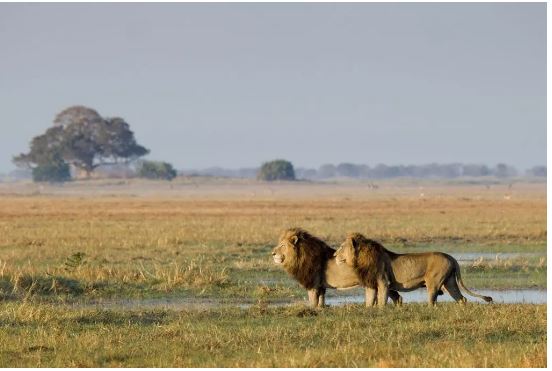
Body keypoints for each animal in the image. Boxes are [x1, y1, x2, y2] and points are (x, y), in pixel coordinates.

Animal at [272, 230, 402, 308]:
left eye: (282, 245)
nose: (272, 253)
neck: (300, 256)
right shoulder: (321, 286)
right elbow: (321, 300)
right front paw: (320, 309)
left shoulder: (313, 284)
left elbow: (313, 301)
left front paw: (311, 310)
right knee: (396, 295)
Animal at [334, 232, 494, 308]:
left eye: (341, 247)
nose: (334, 255)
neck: (359, 259)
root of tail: (451, 257)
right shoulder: (371, 284)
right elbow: (369, 302)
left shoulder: (383, 282)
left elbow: (381, 301)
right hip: (449, 283)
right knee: (462, 298)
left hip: (434, 283)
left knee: (433, 301)